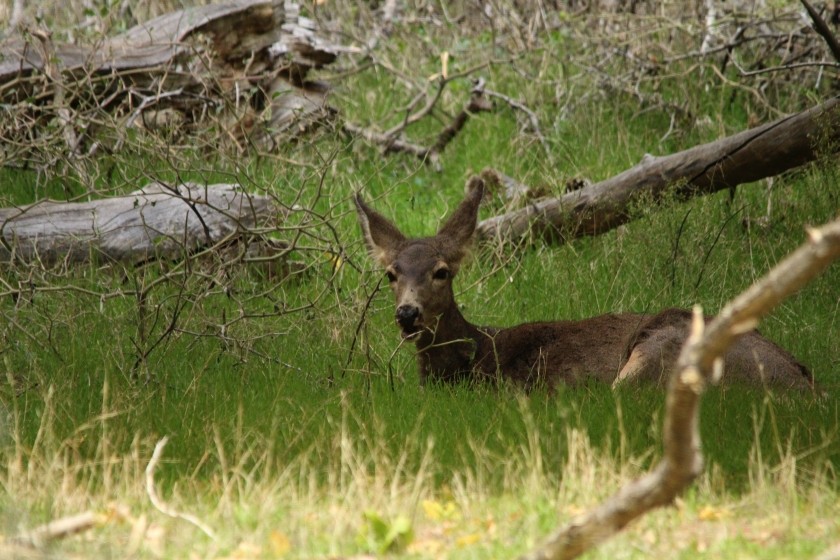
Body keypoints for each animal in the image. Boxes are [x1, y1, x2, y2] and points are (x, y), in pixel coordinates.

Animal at [352, 179, 812, 390]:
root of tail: (808, 387)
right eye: (390, 274)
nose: (407, 313)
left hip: (660, 349)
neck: (478, 357)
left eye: (442, 271)